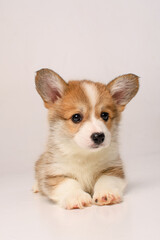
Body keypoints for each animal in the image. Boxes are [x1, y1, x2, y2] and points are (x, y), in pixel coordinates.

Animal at [33, 68, 139, 209]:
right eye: (76, 117)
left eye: (105, 115)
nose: (99, 136)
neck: (84, 154)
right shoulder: (54, 173)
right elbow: (69, 183)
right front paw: (76, 197)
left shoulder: (113, 168)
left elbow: (105, 179)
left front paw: (106, 193)